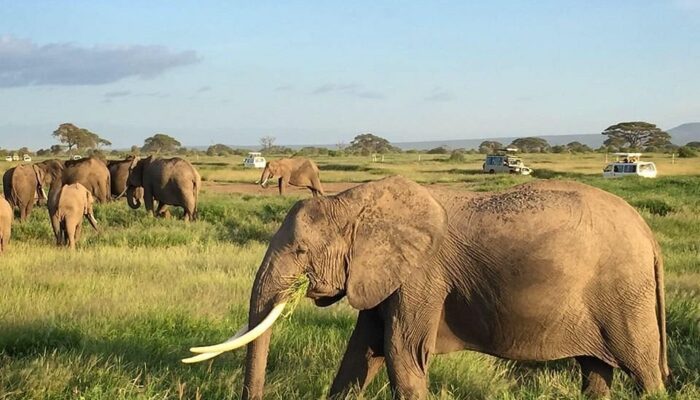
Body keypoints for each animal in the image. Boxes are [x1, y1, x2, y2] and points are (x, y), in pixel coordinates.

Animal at [185, 177, 668, 400]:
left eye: (301, 250)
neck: (355, 202)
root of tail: (650, 237)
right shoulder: (381, 275)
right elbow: (361, 353)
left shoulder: (421, 275)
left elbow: (401, 354)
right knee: (596, 371)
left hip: (625, 294)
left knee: (643, 369)